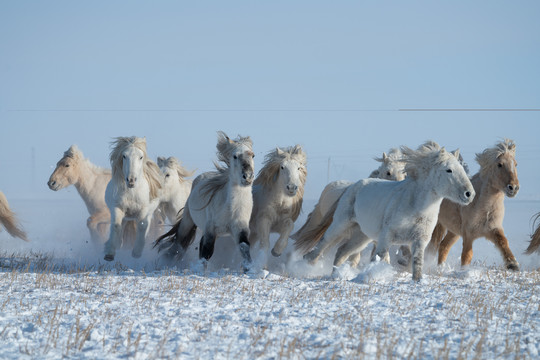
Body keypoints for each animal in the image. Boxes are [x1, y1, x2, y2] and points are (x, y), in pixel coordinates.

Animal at [155, 131, 256, 270]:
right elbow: (206, 251)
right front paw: (200, 269)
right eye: (235, 156)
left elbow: (244, 247)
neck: (230, 208)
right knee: (179, 242)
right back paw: (166, 261)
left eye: (253, 155)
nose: (248, 176)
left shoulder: (241, 229)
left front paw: (249, 268)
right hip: (188, 221)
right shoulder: (211, 230)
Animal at [302, 143, 474, 282]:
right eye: (448, 170)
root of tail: (352, 186)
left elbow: (417, 263)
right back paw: (307, 264)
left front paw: (417, 281)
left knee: (341, 252)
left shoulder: (419, 240)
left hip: (361, 236)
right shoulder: (386, 237)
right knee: (322, 244)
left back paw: (336, 275)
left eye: (462, 168)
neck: (414, 205)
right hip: (340, 225)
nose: (469, 194)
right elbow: (382, 258)